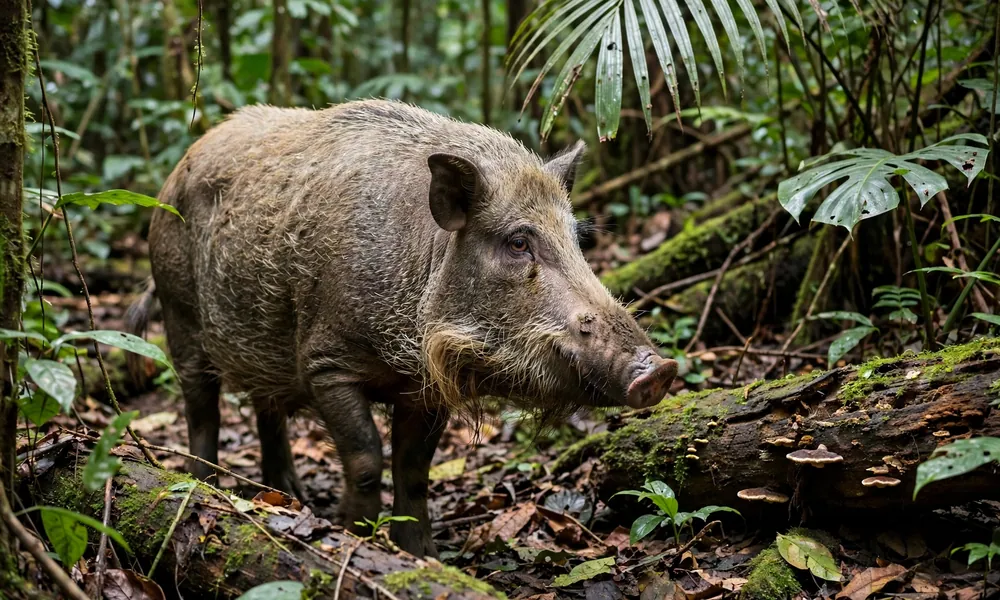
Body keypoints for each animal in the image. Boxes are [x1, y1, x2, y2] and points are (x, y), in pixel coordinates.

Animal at [126, 99, 678, 557]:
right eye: (519, 242)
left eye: (577, 239)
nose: (660, 370)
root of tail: (176, 172)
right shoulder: (326, 364)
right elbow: (367, 458)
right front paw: (353, 534)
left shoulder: (425, 389)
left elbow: (413, 472)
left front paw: (423, 556)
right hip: (179, 314)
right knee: (202, 408)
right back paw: (203, 484)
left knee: (267, 410)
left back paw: (289, 496)